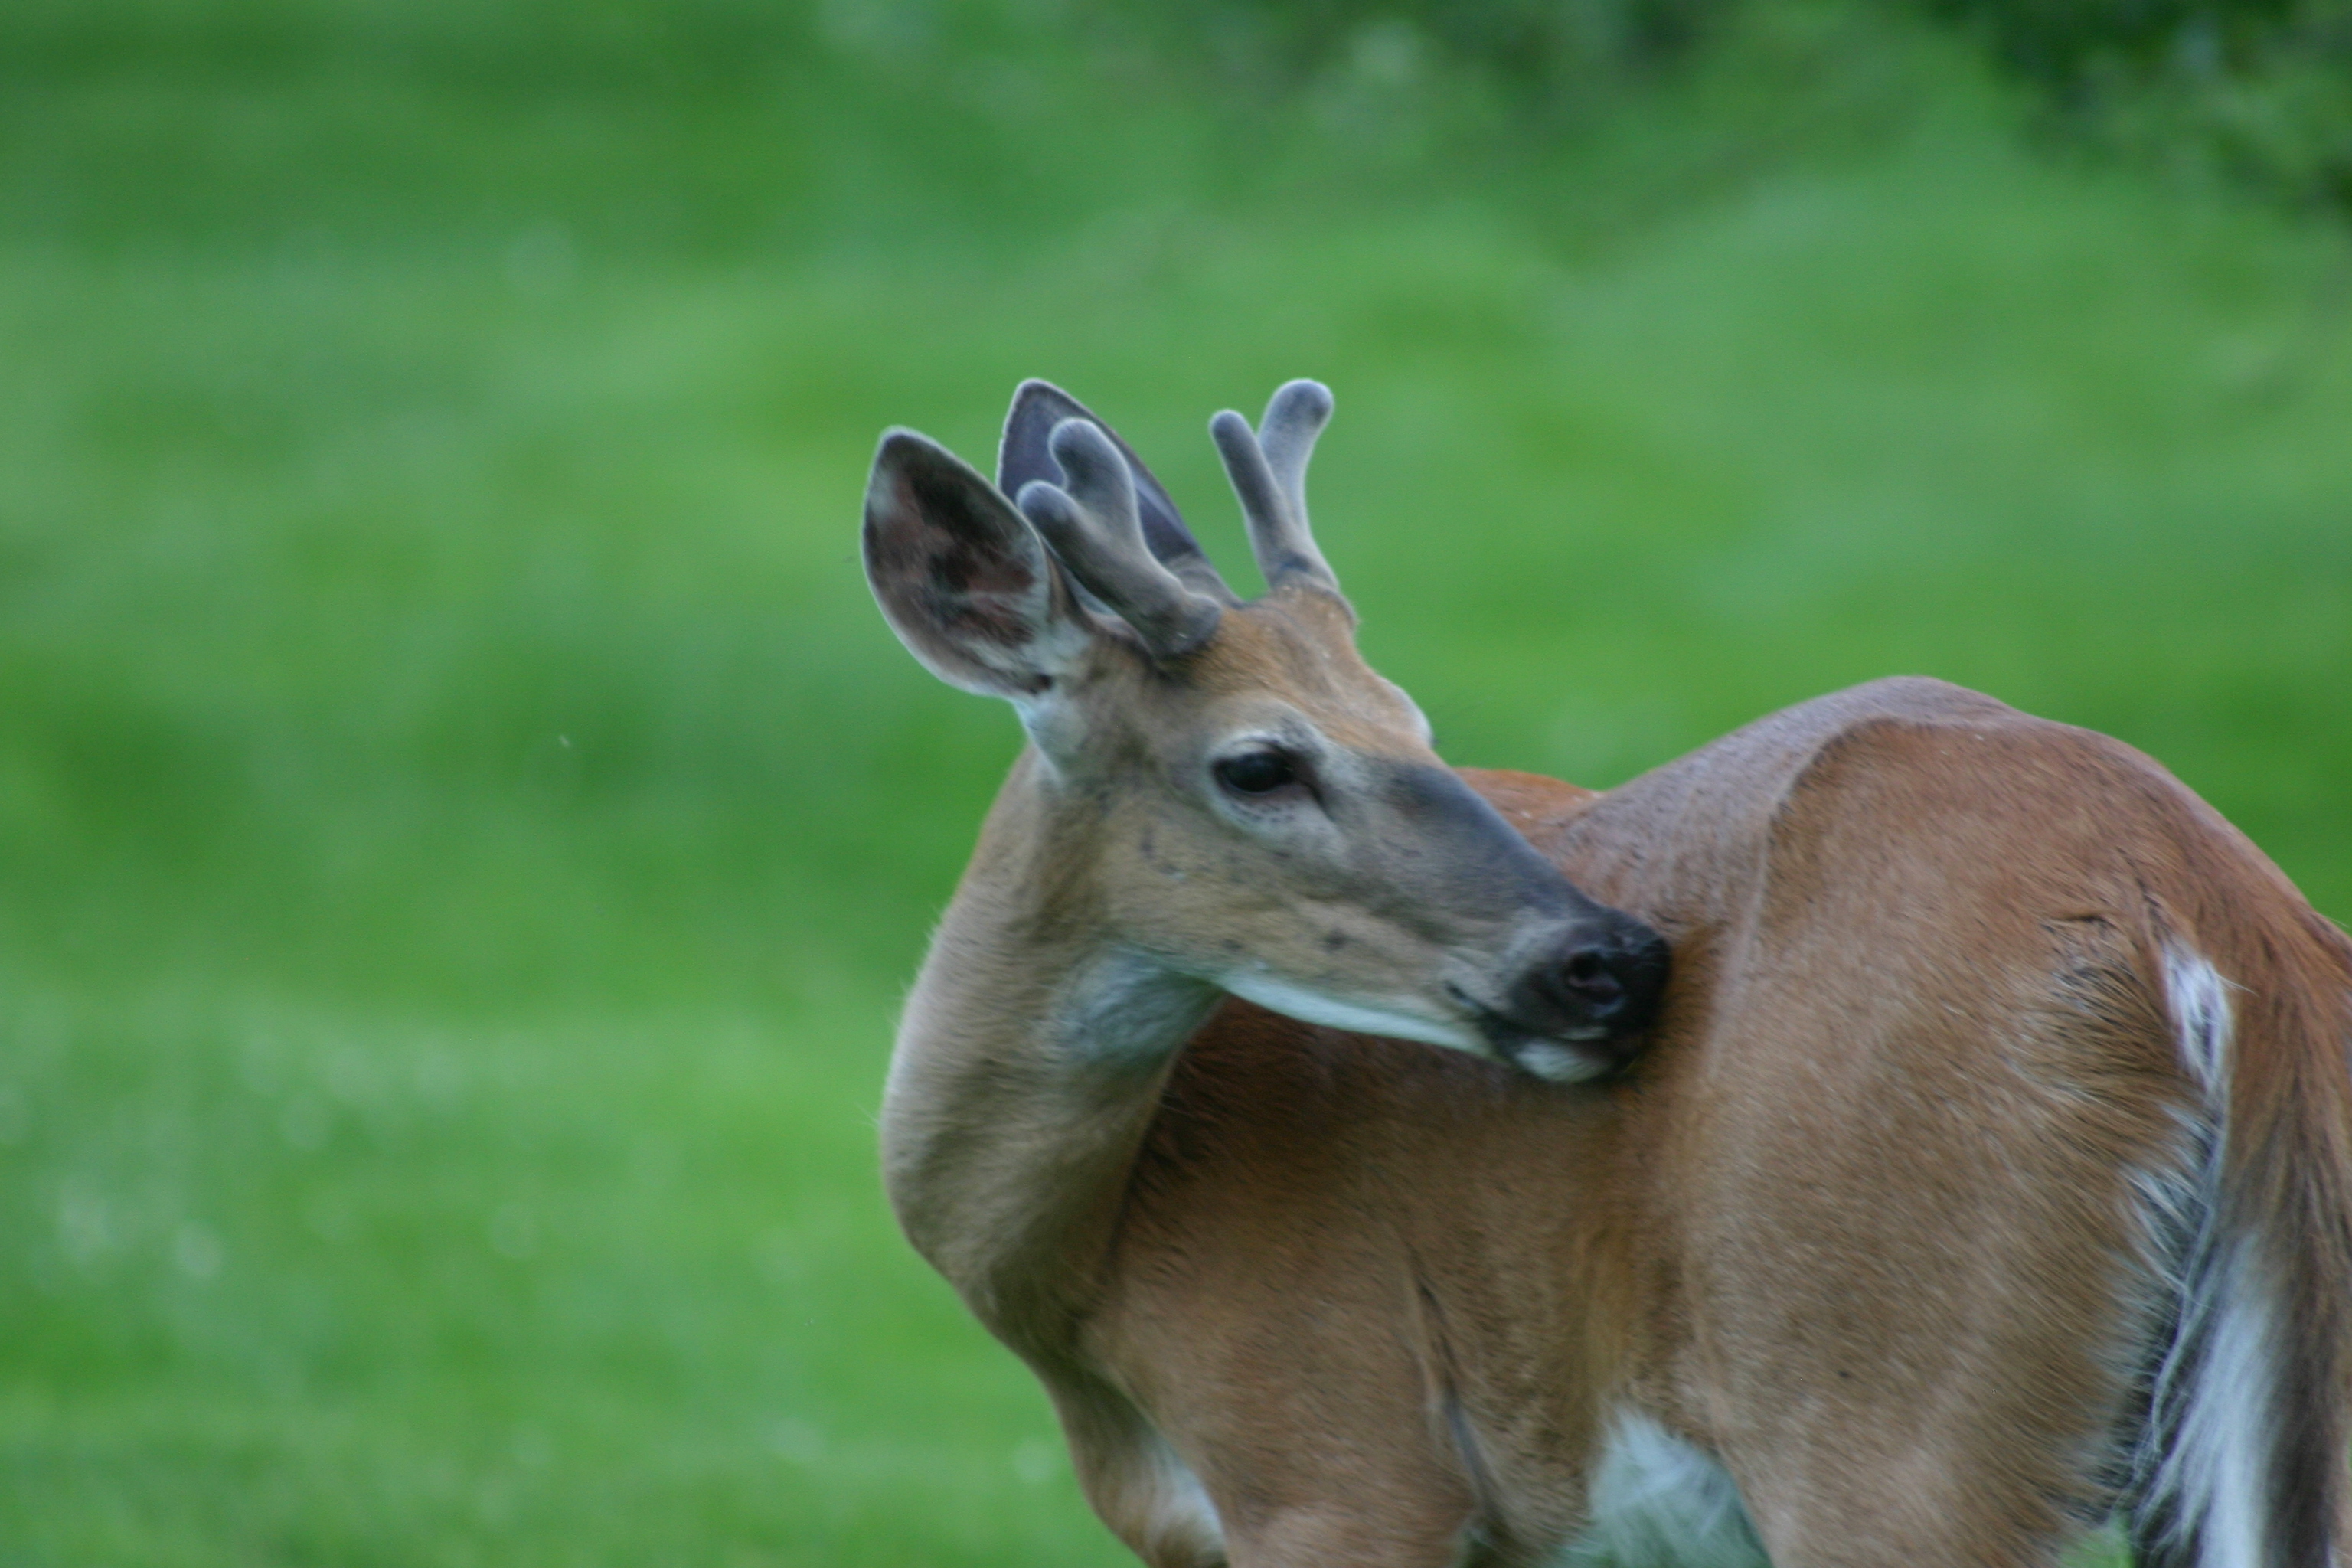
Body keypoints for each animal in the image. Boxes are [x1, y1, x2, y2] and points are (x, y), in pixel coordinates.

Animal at [860, 376, 2352, 1568]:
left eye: (1415, 725)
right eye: (1259, 762)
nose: (1608, 961)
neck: (1085, 1273)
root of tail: (2208, 900)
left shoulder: (1334, 1459)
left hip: (1887, 1403)